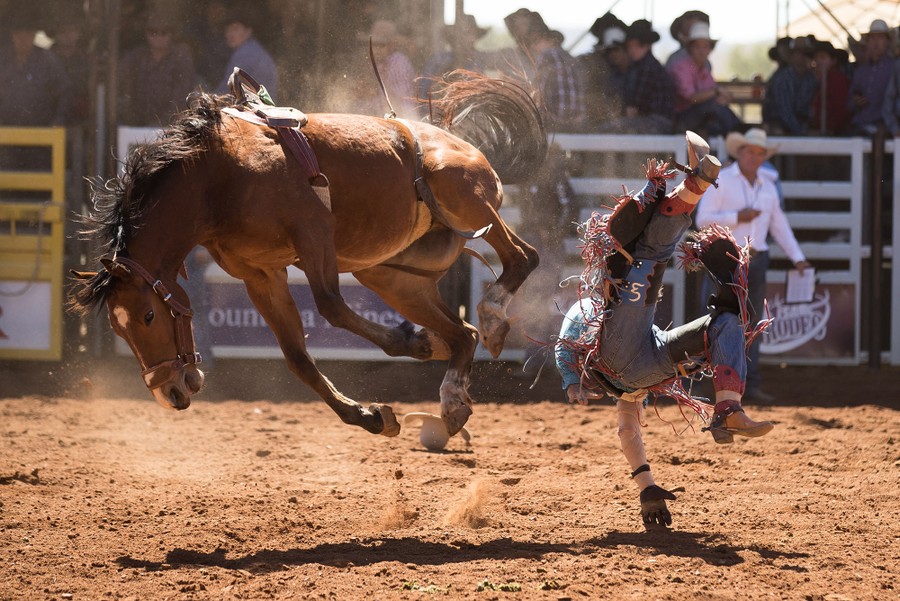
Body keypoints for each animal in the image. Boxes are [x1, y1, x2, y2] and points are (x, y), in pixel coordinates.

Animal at [69, 73, 547, 439]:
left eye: (148, 315)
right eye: (118, 326)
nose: (169, 393)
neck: (217, 180)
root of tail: (466, 145)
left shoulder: (314, 231)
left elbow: (331, 306)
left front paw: (411, 342)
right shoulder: (260, 274)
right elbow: (297, 357)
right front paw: (372, 416)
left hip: (460, 193)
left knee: (523, 258)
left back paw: (491, 318)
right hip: (392, 276)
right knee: (463, 333)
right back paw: (451, 398)